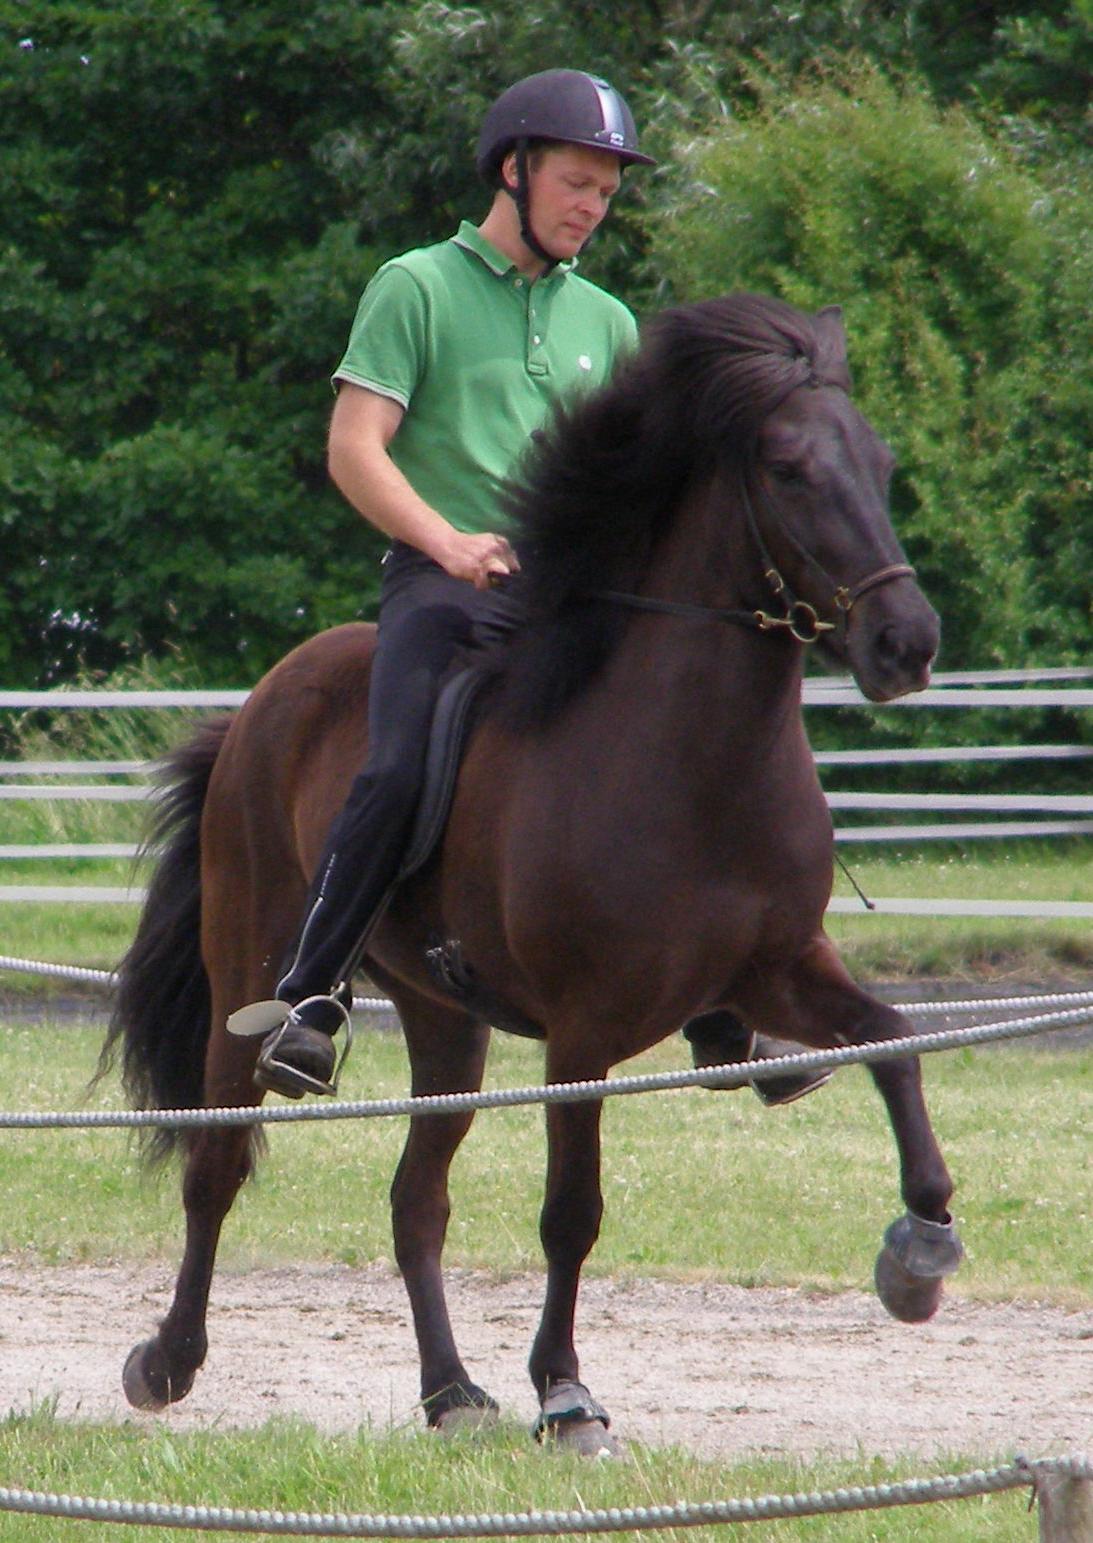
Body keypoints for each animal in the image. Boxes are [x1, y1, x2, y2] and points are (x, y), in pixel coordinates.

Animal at [106, 294, 963, 1450]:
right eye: (787, 468)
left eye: (877, 462)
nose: (905, 644)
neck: (696, 761)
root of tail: (256, 705)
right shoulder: (584, 1032)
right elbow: (572, 1213)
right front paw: (564, 1393)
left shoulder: (778, 968)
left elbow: (895, 1043)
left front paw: (920, 1245)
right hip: (250, 968)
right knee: (217, 1162)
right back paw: (169, 1359)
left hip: (444, 1022)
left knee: (415, 1201)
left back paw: (451, 1393)